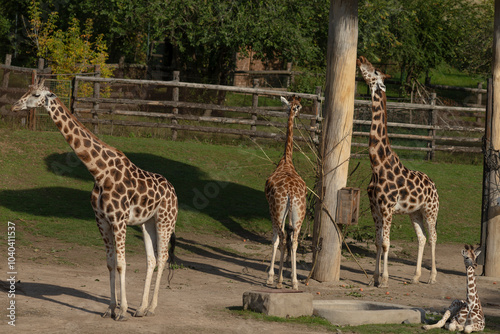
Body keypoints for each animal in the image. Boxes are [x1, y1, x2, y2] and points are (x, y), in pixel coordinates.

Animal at [10, 78, 179, 320]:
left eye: (35, 94)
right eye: (27, 90)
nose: (14, 106)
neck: (99, 172)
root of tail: (174, 191)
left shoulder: (118, 220)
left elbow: (121, 263)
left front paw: (122, 311)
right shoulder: (101, 221)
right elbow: (109, 264)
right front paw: (110, 308)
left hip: (165, 220)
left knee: (163, 257)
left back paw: (151, 308)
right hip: (147, 223)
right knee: (152, 259)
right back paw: (141, 308)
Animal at [356, 56, 438, 288]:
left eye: (375, 70)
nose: (361, 58)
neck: (377, 163)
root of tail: (434, 185)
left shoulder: (388, 207)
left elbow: (386, 243)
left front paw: (384, 279)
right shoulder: (374, 207)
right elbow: (377, 242)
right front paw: (373, 278)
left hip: (430, 211)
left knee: (433, 236)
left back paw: (432, 277)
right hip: (415, 213)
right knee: (422, 238)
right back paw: (416, 276)